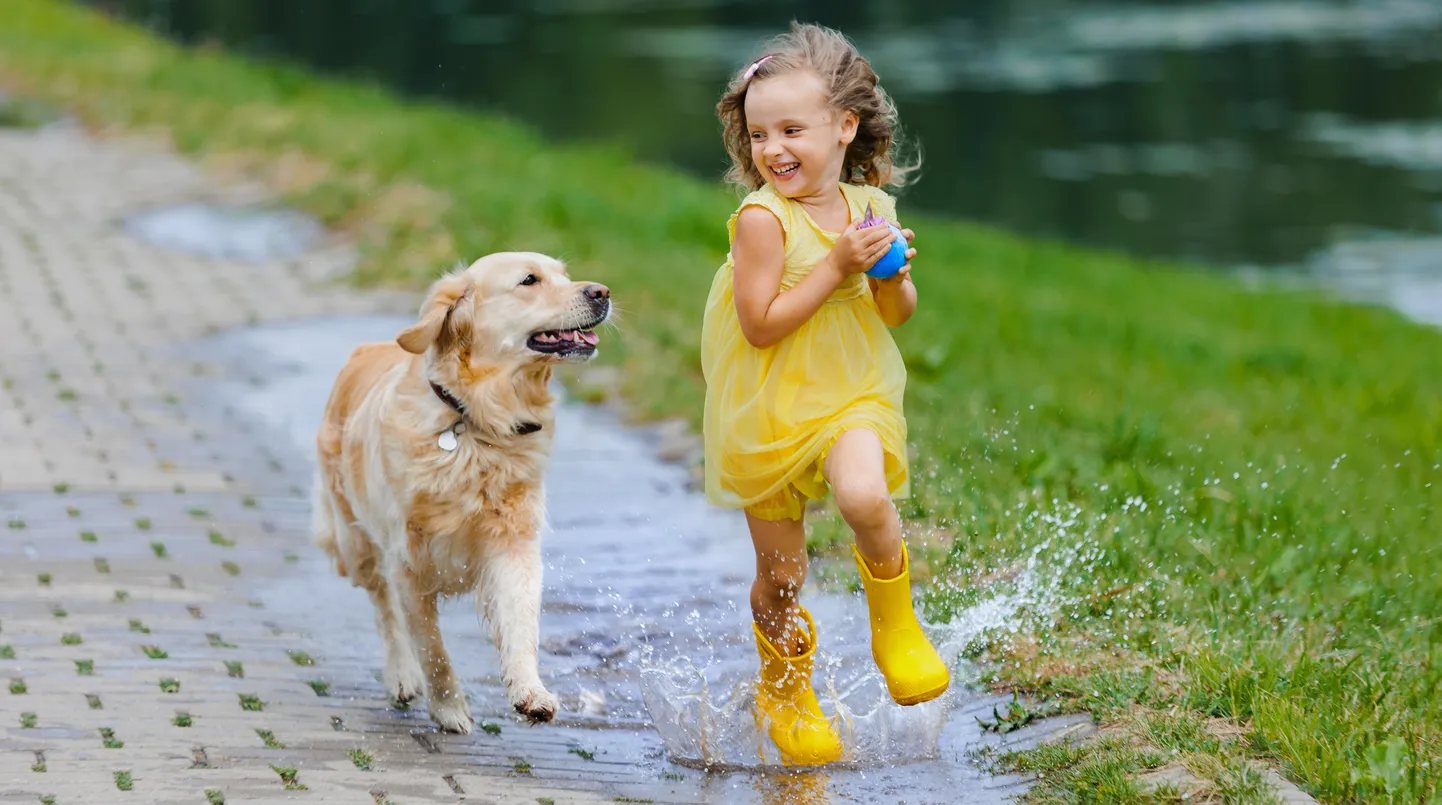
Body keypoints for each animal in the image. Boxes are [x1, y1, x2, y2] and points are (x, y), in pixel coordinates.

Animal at [310, 253, 608, 738]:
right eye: (529, 280)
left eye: (564, 274)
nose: (602, 292)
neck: (476, 421)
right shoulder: (407, 561)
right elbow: (431, 647)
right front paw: (449, 707)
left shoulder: (513, 543)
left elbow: (521, 621)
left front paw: (531, 692)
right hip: (355, 543)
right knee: (383, 608)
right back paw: (401, 675)